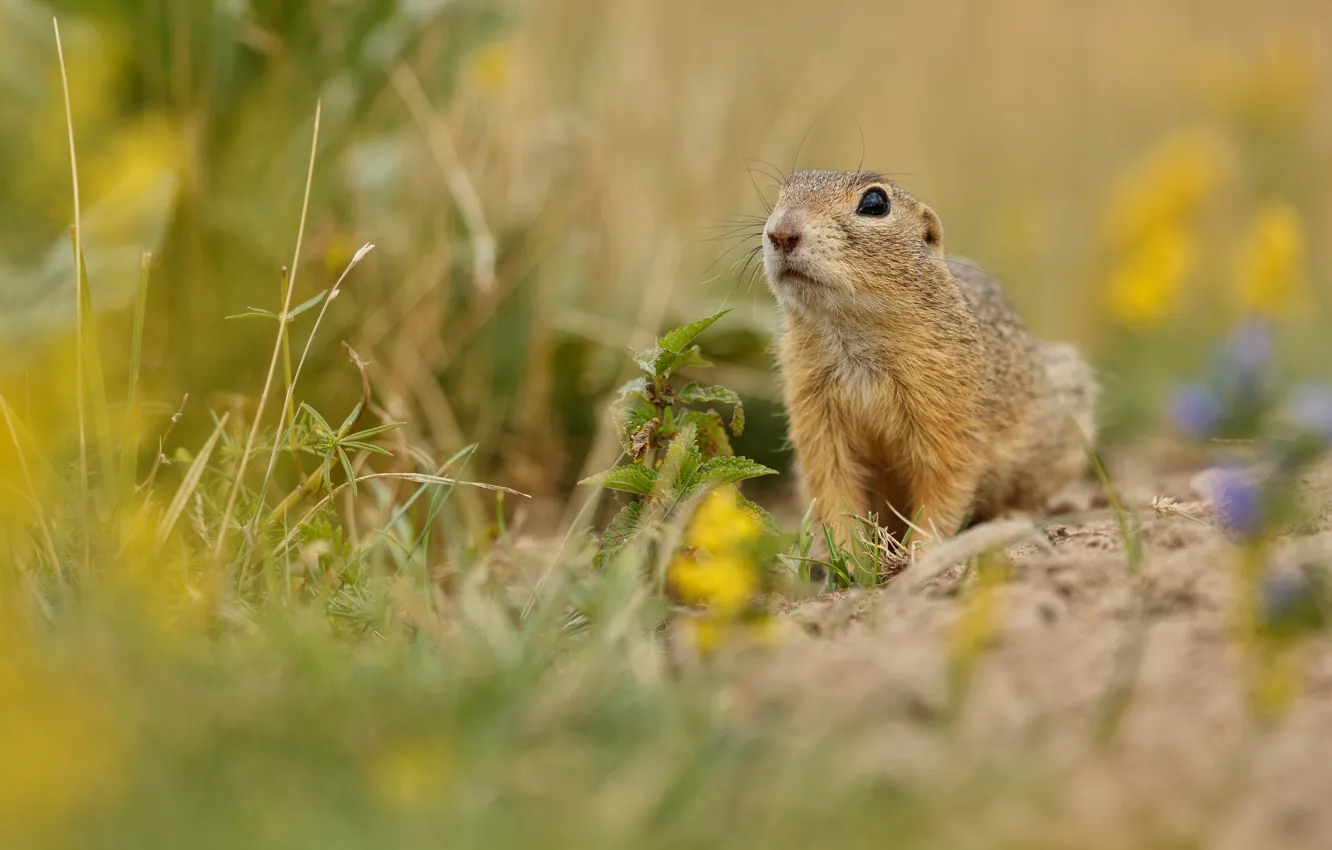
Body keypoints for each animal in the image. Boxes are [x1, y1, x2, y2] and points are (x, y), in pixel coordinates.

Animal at [767, 169, 1097, 548]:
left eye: (875, 202)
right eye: (781, 193)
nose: (781, 233)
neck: (851, 337)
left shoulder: (947, 413)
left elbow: (942, 489)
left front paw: (919, 552)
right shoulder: (815, 416)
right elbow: (833, 490)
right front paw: (849, 554)